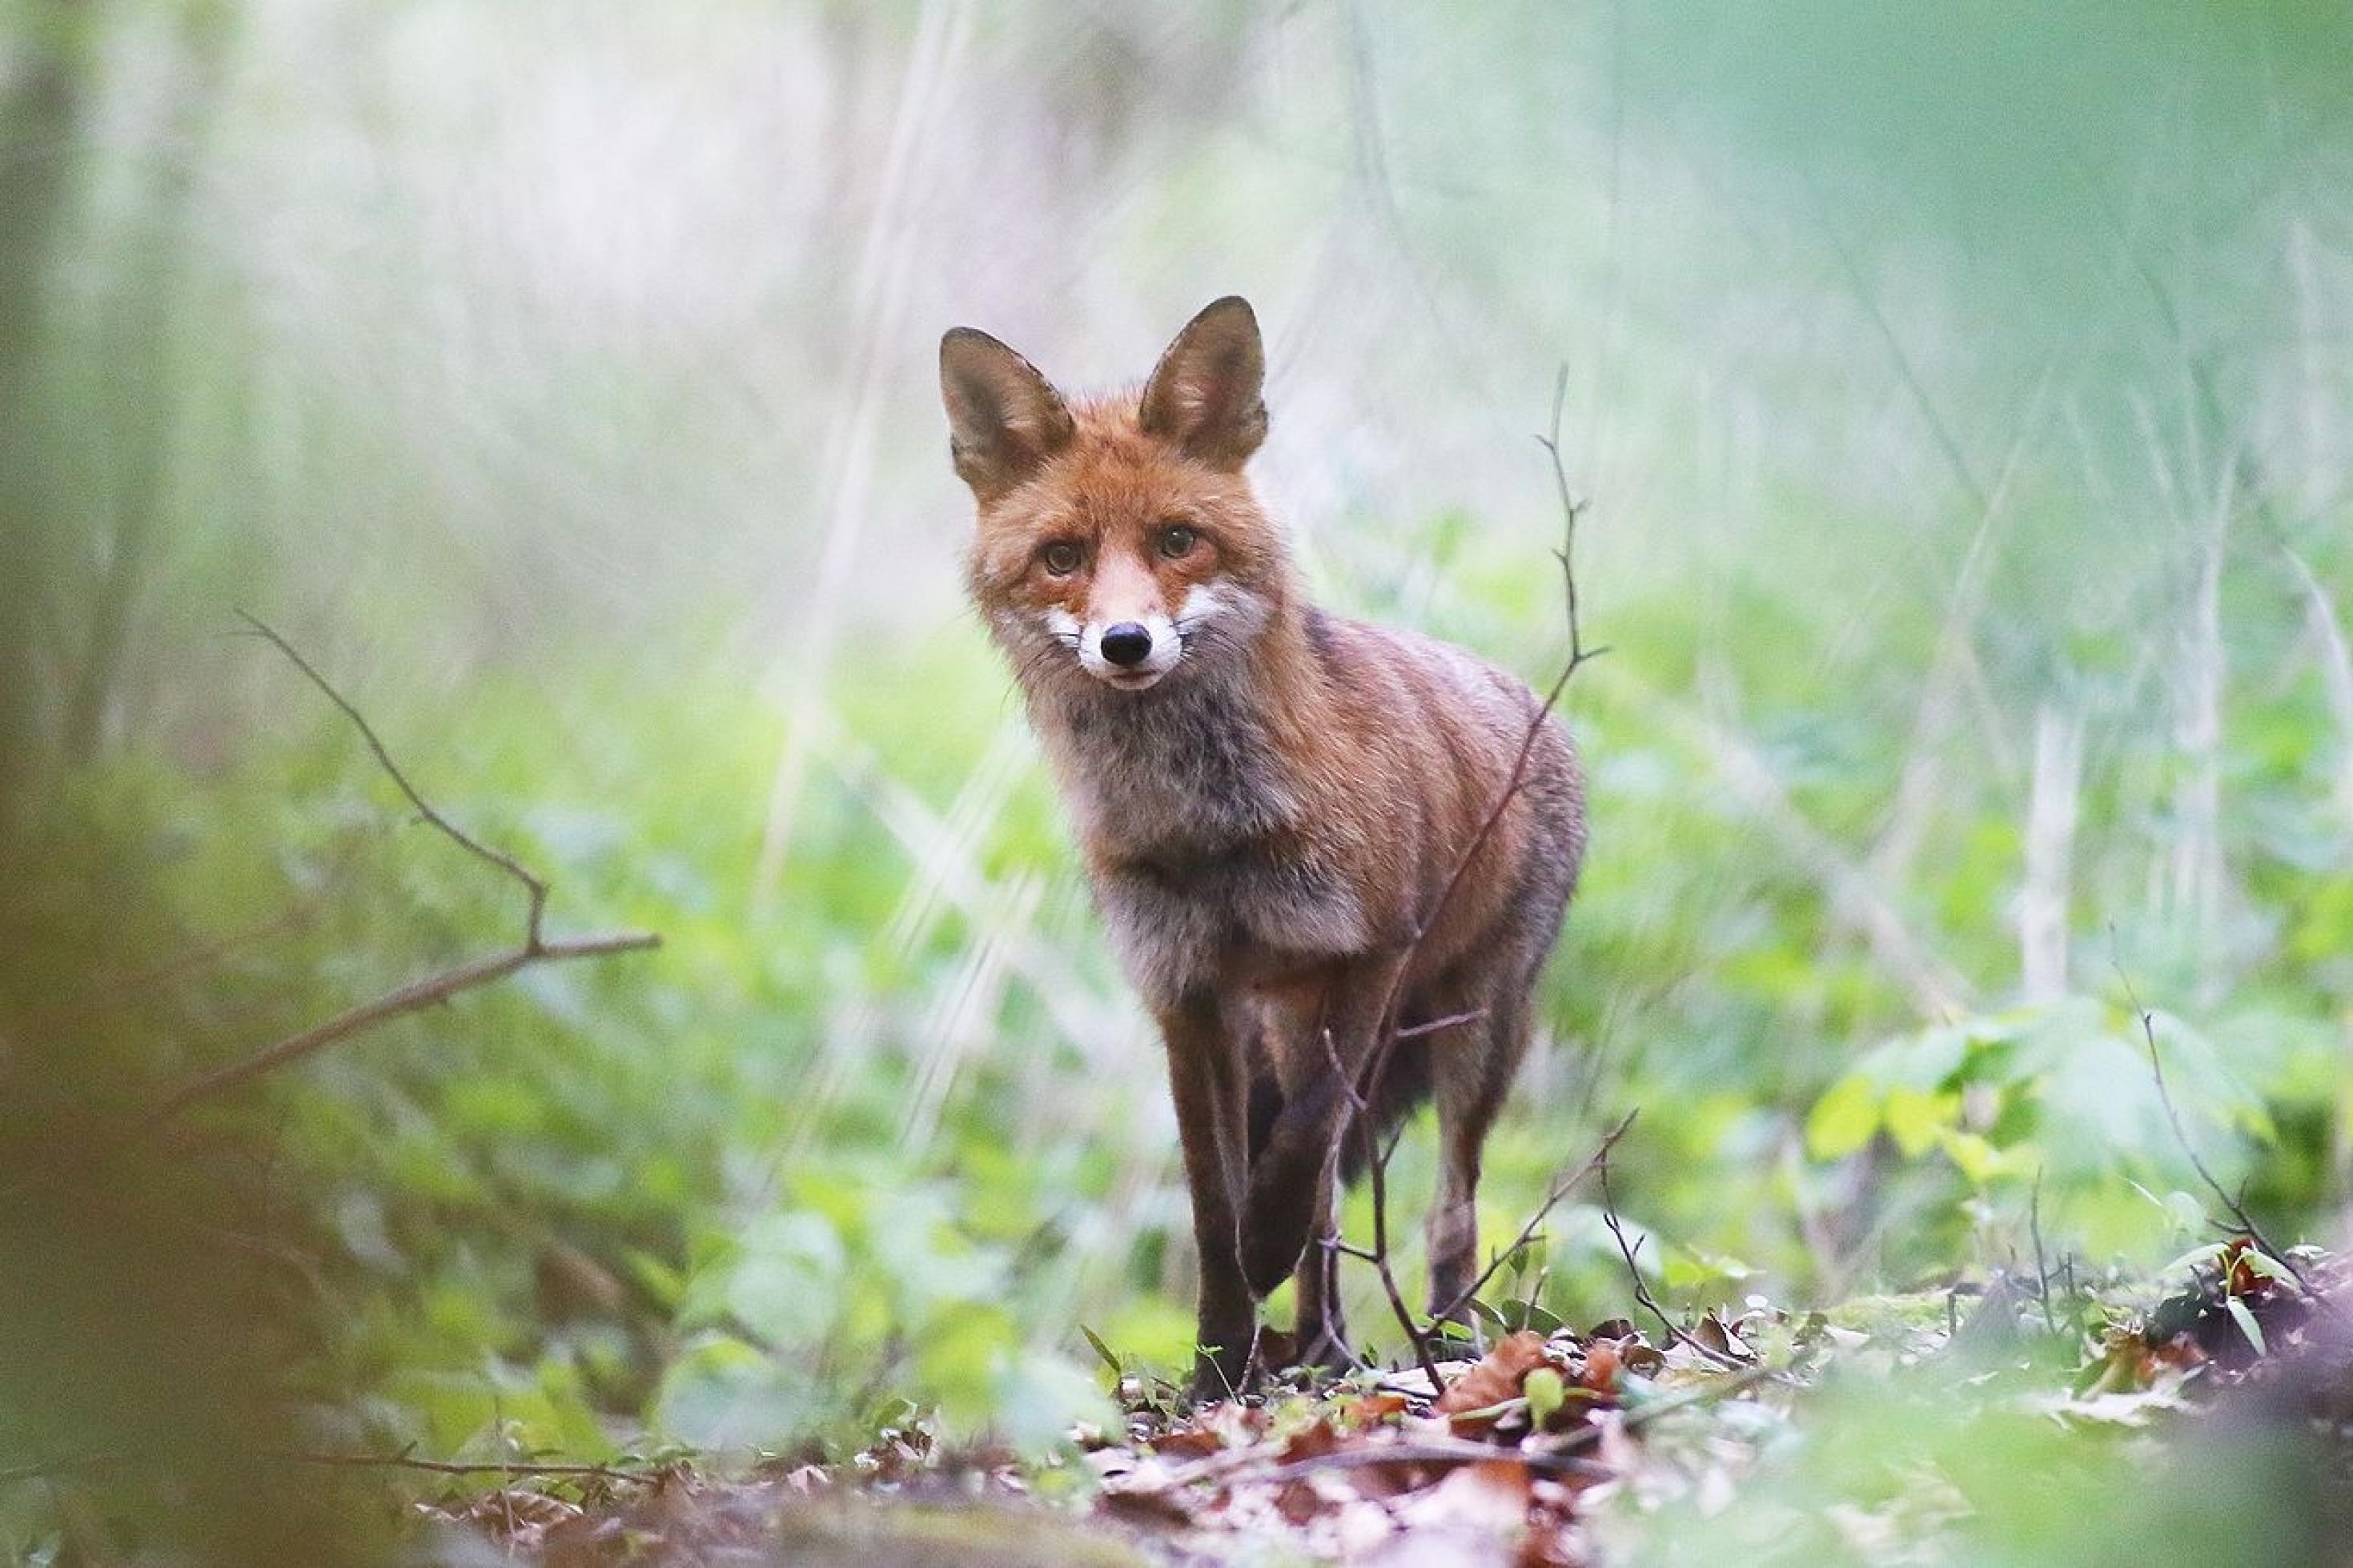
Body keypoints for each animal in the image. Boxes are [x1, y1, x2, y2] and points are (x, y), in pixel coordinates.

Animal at [936, 300, 1581, 1391]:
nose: (1124, 643)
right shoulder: (1186, 996)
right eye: (1062, 556)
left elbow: (1301, 1149)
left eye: (1177, 540)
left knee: (1445, 1211)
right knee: (1330, 1205)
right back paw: (1318, 1347)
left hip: (1474, 1031)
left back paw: (1451, 1343)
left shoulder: (1370, 955)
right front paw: (1218, 1369)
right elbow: (1214, 1206)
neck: (1209, 832)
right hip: (1277, 1023)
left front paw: (1261, 1252)